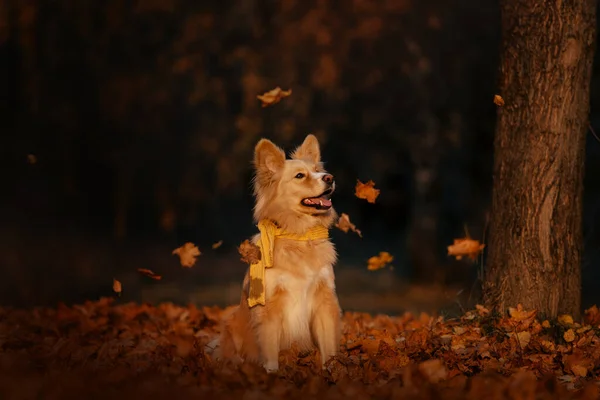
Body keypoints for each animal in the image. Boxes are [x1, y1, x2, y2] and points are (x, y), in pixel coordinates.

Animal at [206, 134, 340, 372]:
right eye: (300, 176)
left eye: (318, 170)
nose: (330, 177)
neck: (298, 234)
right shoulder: (268, 308)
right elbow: (269, 351)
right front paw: (271, 374)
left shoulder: (324, 300)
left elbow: (328, 347)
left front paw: (332, 372)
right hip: (232, 324)